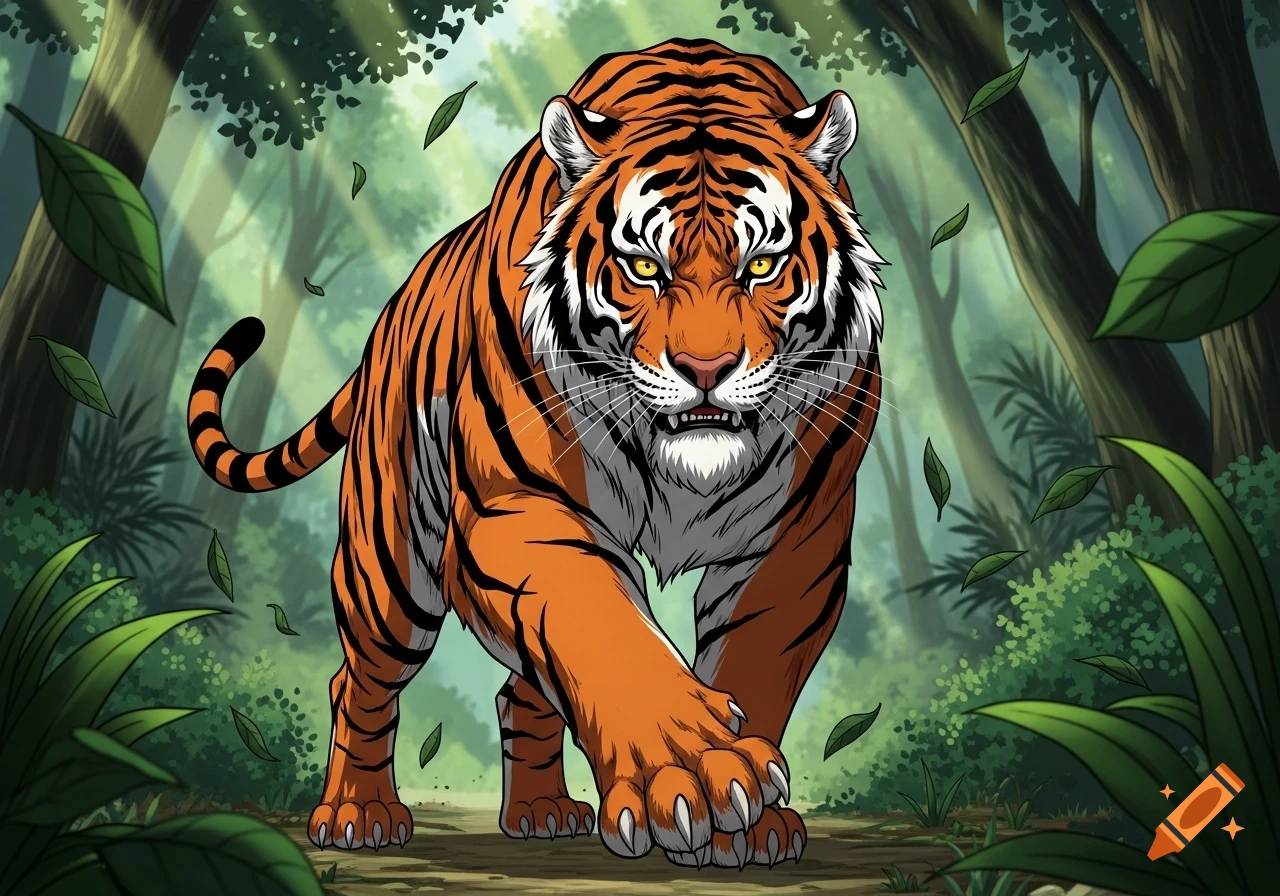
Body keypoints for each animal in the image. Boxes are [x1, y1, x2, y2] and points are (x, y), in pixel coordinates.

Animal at [187, 38, 885, 868]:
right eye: (644, 268)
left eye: (761, 267)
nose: (705, 369)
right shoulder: (516, 509)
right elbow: (604, 630)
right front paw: (694, 774)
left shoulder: (797, 539)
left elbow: (754, 660)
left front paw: (752, 823)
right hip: (389, 569)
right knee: (359, 682)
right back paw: (359, 813)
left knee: (522, 686)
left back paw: (542, 810)